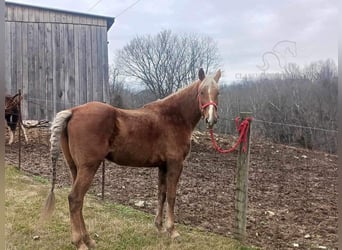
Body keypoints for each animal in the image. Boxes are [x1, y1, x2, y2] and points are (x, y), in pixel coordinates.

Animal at [41, 67, 222, 249]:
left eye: (217, 92)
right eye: (201, 92)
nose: (211, 119)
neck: (173, 117)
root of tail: (73, 112)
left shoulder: (163, 166)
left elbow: (161, 194)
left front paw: (159, 226)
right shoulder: (175, 164)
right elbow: (171, 196)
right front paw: (172, 231)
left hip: (75, 168)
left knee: (79, 201)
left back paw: (88, 240)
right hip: (88, 167)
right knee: (75, 199)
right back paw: (79, 242)